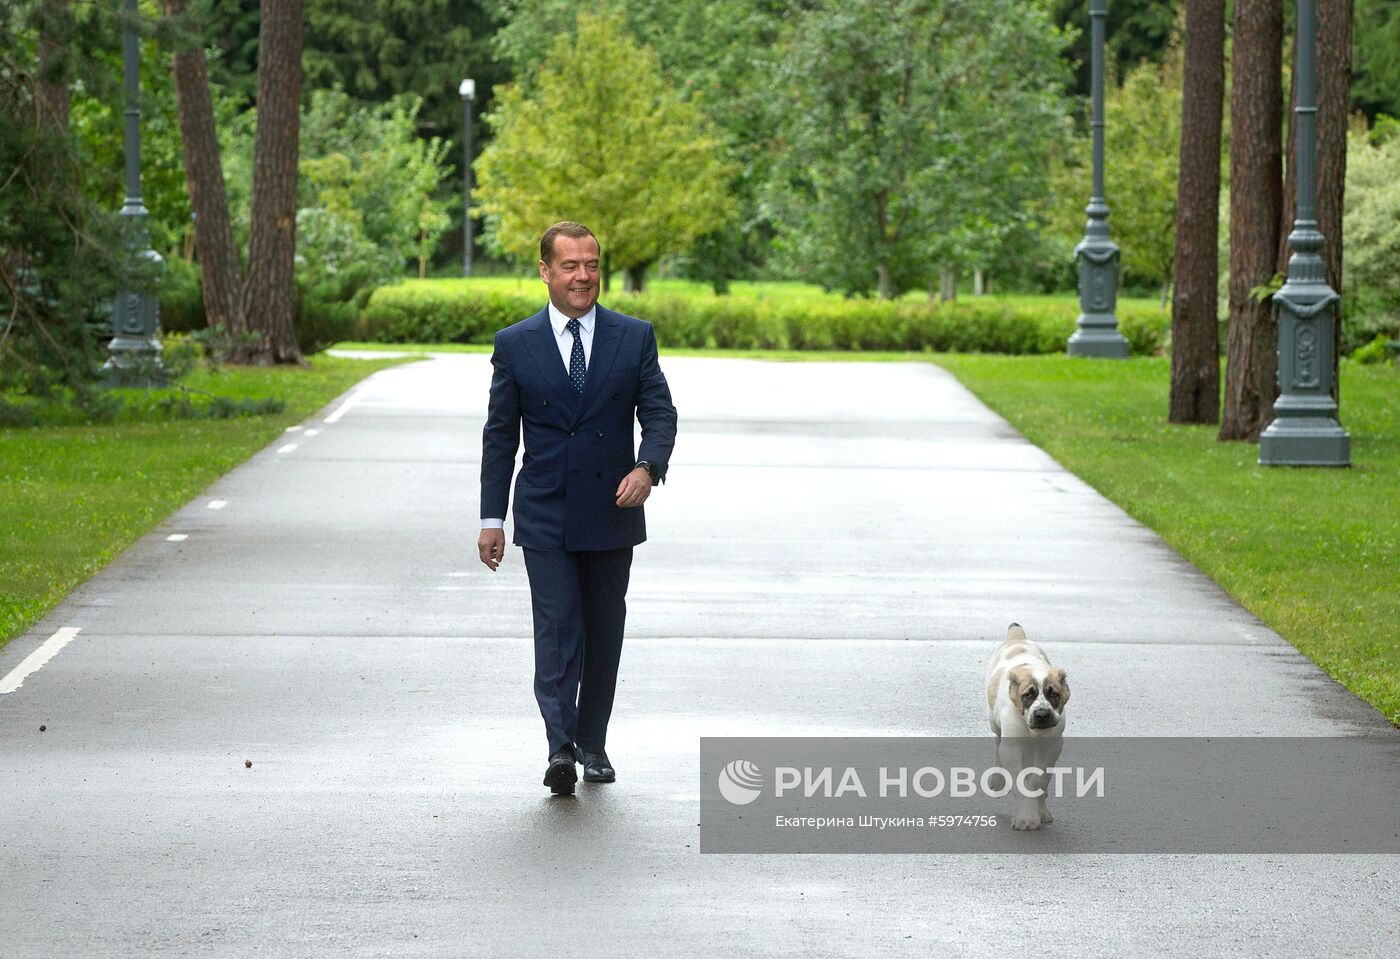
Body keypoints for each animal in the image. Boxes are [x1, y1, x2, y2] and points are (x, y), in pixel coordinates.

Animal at [985, 624, 1069, 828]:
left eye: (1054, 694)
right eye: (1027, 695)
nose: (1042, 715)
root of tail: (1017, 638)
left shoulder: (1052, 746)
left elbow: (1039, 779)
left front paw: (1037, 805)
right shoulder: (1012, 748)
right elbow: (1020, 782)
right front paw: (1027, 817)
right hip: (995, 725)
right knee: (998, 742)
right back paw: (997, 781)